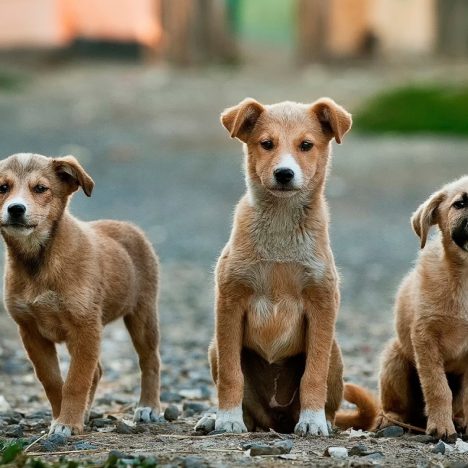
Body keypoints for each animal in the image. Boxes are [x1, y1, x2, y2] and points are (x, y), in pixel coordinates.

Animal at [0, 153, 161, 436]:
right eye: (2, 188)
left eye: (40, 188)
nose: (15, 209)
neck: (38, 261)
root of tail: (127, 226)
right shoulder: (30, 331)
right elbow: (53, 381)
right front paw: (61, 417)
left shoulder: (85, 327)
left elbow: (75, 381)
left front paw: (67, 422)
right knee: (96, 372)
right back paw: (85, 413)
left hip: (142, 314)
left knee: (150, 360)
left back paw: (148, 407)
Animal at [202, 96, 376, 436]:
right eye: (266, 144)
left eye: (306, 145)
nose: (284, 173)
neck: (281, 227)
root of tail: (277, 420)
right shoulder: (229, 301)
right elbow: (231, 374)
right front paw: (227, 419)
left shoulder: (322, 304)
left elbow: (313, 374)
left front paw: (312, 421)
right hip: (215, 347)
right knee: (251, 412)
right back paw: (216, 419)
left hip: (335, 353)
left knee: (328, 399)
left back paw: (321, 420)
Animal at [378, 177, 468, 440]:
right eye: (460, 204)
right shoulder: (425, 336)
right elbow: (437, 387)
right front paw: (441, 426)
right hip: (395, 359)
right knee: (394, 408)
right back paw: (391, 422)